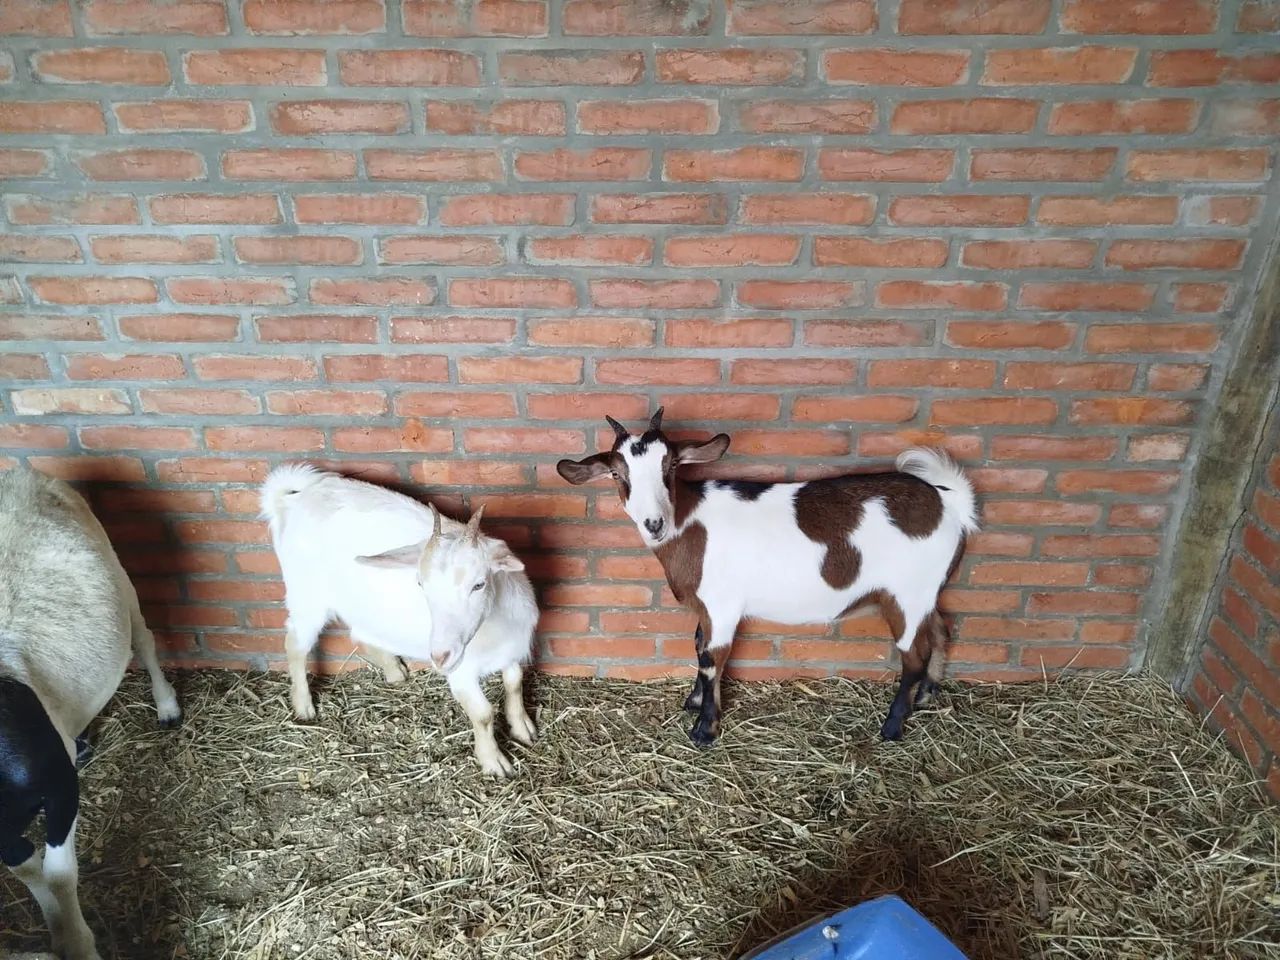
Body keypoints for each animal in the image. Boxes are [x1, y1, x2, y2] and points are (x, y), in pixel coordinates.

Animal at [0, 467, 181, 960]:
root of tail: (21, 472)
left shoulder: (60, 786)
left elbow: (59, 873)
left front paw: (78, 942)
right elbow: (26, 868)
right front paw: (57, 929)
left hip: (116, 571)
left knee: (144, 640)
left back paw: (167, 707)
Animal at [260, 464, 539, 777]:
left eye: (479, 584)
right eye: (421, 584)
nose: (439, 656)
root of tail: (293, 498)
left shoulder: (511, 651)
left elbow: (514, 683)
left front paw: (523, 729)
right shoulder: (462, 673)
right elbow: (482, 714)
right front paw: (494, 762)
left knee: (361, 633)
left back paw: (394, 671)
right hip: (306, 596)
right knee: (295, 643)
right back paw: (304, 706)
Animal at [558, 409, 978, 746]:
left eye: (671, 467)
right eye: (617, 473)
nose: (654, 523)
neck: (689, 522)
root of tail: (948, 499)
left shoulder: (722, 604)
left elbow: (712, 657)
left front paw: (705, 729)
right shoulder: (706, 607)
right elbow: (698, 646)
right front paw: (693, 702)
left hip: (906, 594)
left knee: (914, 654)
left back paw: (892, 726)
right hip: (926, 593)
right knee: (941, 630)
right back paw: (926, 696)